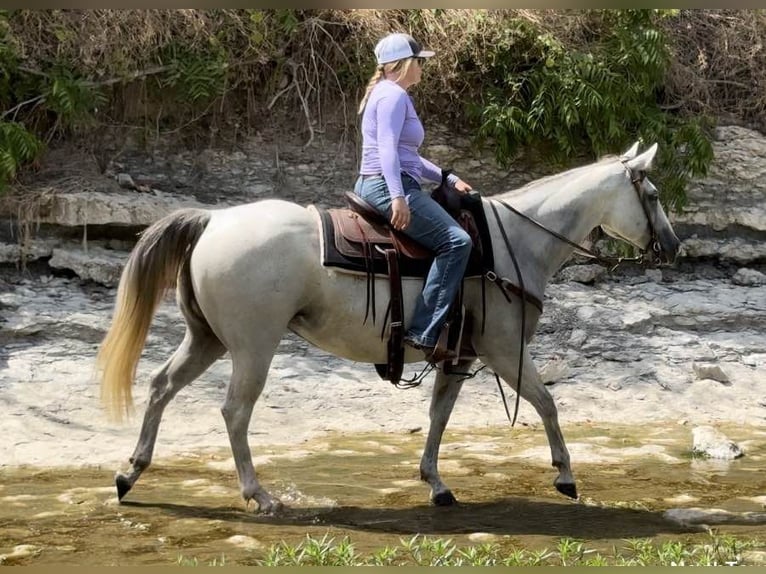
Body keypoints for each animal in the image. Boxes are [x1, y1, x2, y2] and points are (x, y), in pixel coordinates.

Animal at [96, 142, 680, 513]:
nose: (673, 247)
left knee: (160, 387)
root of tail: (213, 220)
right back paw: (258, 495)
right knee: (234, 412)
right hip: (252, 346)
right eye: (652, 196)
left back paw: (129, 473)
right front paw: (565, 476)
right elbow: (547, 403)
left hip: (208, 338)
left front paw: (436, 484)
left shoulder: (460, 355)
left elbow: (439, 416)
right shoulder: (502, 348)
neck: (511, 241)